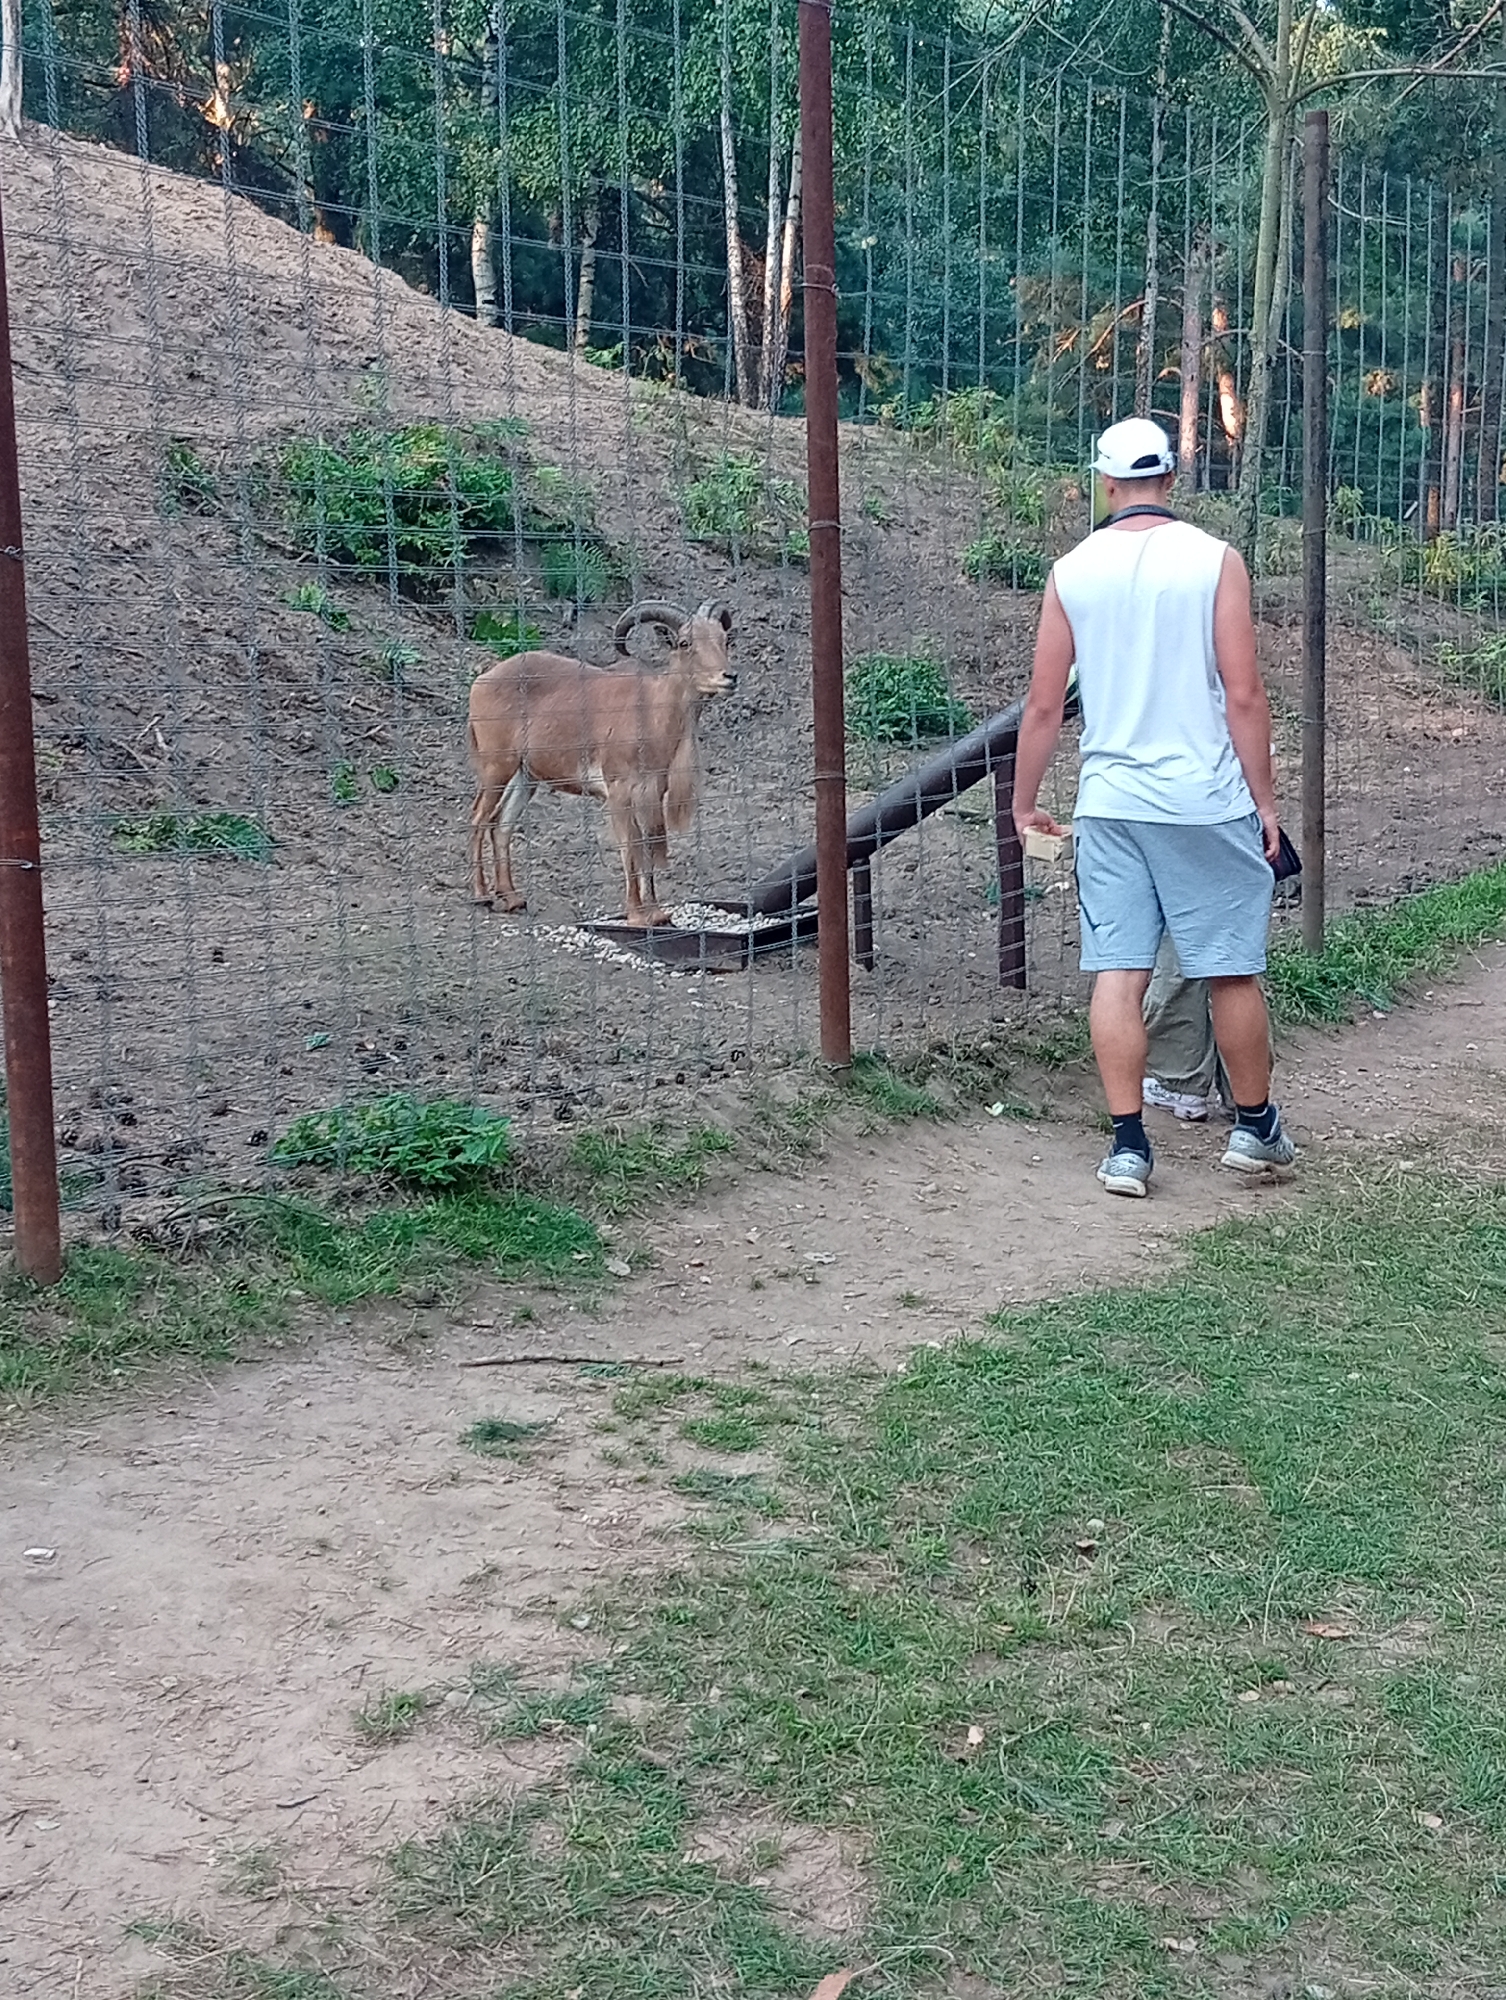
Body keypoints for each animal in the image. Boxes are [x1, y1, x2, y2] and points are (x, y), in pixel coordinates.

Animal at [467, 598, 737, 928]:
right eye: (685, 643)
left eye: (724, 639)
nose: (728, 677)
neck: (651, 713)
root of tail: (480, 683)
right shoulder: (619, 792)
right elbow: (630, 849)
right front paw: (636, 914)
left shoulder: (652, 793)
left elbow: (648, 847)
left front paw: (657, 913)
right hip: (496, 767)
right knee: (479, 818)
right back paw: (482, 895)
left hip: (525, 776)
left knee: (501, 825)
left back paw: (512, 898)